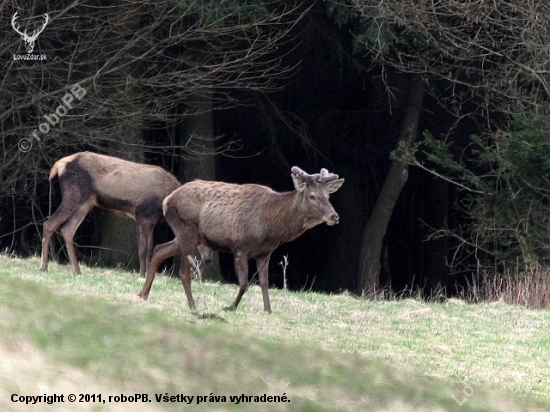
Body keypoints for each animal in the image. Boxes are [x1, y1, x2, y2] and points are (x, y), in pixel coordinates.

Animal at [43, 151, 182, 276]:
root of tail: (59, 164)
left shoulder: (151, 221)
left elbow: (150, 249)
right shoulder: (143, 216)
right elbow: (143, 249)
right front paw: (142, 275)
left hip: (85, 204)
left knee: (67, 229)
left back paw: (77, 271)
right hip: (74, 195)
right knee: (49, 224)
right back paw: (44, 267)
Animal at [139, 166, 344, 314]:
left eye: (328, 196)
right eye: (312, 196)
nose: (334, 217)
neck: (272, 228)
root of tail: (167, 201)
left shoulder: (265, 253)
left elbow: (264, 282)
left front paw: (268, 310)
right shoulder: (241, 247)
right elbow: (245, 283)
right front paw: (230, 307)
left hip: (187, 235)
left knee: (159, 249)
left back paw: (143, 294)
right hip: (186, 230)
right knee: (184, 273)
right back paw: (193, 306)